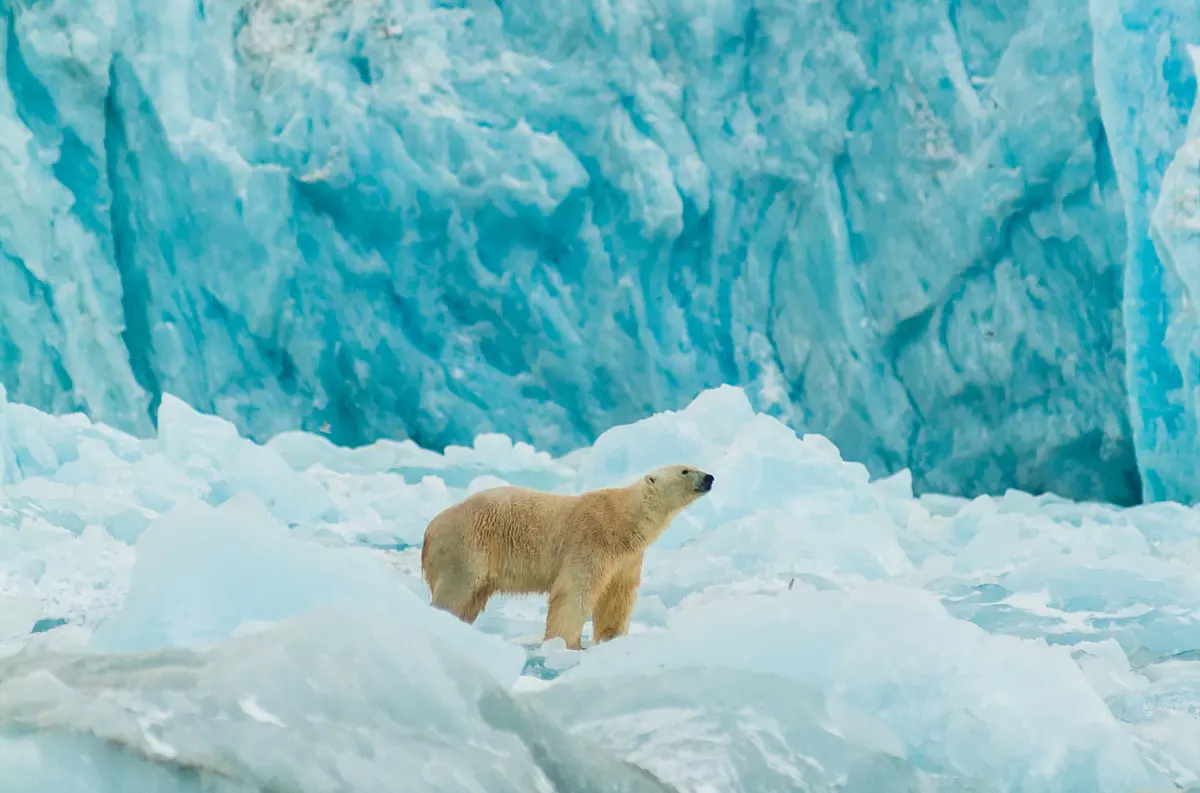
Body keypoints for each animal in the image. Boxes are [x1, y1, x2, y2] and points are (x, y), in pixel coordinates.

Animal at [420, 463, 710, 647]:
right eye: (685, 470)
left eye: (693, 465)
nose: (710, 478)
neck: (623, 520)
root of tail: (430, 529)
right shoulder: (592, 540)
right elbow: (574, 592)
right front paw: (566, 645)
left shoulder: (627, 558)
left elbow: (617, 596)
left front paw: (611, 638)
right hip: (467, 547)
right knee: (456, 591)